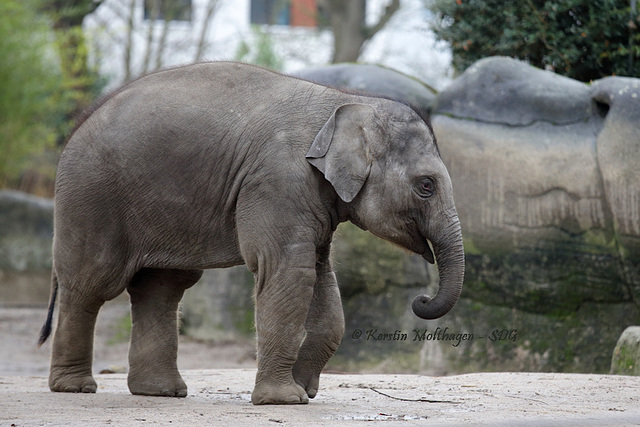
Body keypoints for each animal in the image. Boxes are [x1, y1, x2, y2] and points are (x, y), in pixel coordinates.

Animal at [38, 61, 464, 406]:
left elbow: (319, 277)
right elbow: (288, 271)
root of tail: (76, 127)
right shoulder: (278, 181)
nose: (421, 299)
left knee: (161, 287)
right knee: (91, 283)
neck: (346, 102)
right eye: (426, 186)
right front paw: (285, 399)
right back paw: (75, 388)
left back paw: (159, 392)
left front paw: (303, 389)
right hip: (91, 198)